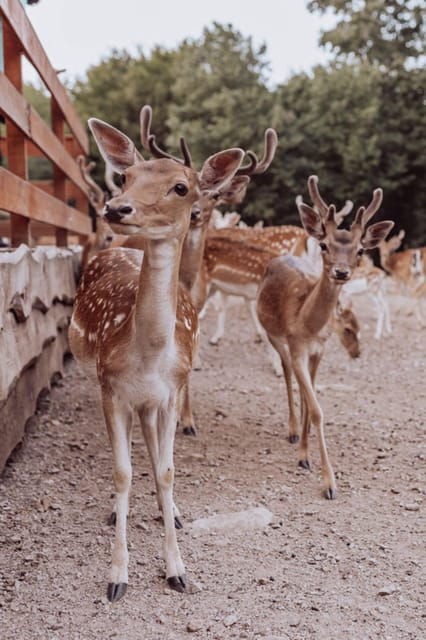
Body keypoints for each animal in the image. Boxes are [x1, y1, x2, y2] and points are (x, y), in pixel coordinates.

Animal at [68, 105, 245, 602]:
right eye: (126, 176)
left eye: (181, 187)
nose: (116, 208)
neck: (146, 355)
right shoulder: (111, 388)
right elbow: (122, 472)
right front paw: (117, 576)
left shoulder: (169, 392)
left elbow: (165, 470)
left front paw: (177, 569)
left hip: (156, 399)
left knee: (153, 449)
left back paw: (174, 513)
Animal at [256, 175, 394, 500]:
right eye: (323, 244)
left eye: (360, 250)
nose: (341, 272)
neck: (308, 325)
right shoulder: (297, 347)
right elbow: (317, 409)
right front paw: (329, 483)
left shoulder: (319, 350)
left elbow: (312, 402)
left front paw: (305, 457)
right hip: (272, 333)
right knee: (285, 371)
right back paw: (292, 429)